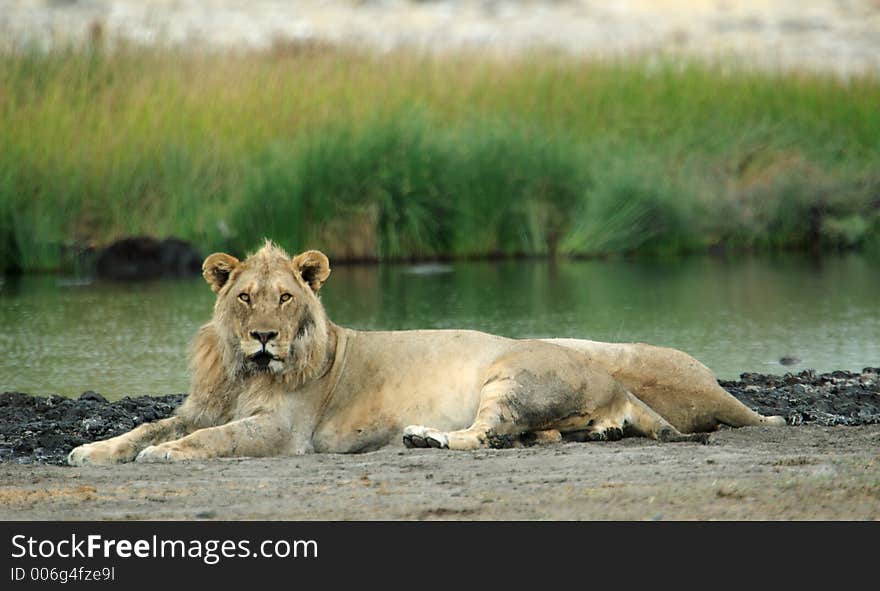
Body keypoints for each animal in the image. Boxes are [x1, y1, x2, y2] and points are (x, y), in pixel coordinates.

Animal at [67, 242, 784, 468]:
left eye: (285, 298)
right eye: (245, 297)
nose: (265, 337)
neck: (246, 373)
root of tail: (611, 380)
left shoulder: (284, 429)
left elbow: (214, 439)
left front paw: (164, 456)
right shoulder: (201, 406)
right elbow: (148, 425)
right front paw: (92, 450)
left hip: (508, 375)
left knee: (488, 435)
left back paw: (426, 439)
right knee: (529, 436)